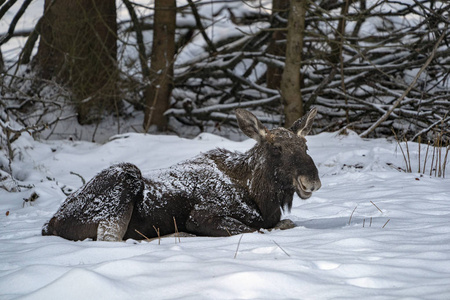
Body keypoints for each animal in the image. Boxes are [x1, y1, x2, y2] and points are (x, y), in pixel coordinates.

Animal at [42, 108, 320, 241]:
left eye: (306, 146)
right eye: (276, 148)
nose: (312, 181)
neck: (260, 196)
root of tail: (51, 223)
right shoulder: (202, 215)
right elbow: (258, 230)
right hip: (125, 175)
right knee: (109, 239)